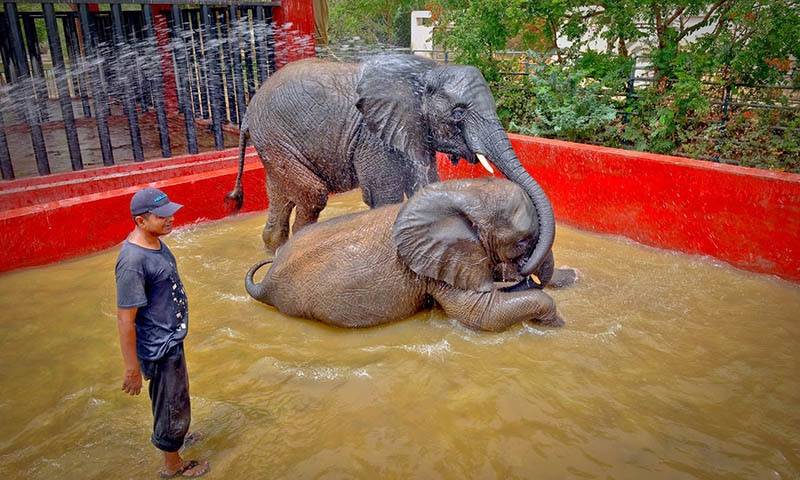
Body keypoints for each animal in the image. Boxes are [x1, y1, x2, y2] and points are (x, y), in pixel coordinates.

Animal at [227, 53, 557, 285]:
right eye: (458, 113)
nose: (525, 271)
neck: (426, 71)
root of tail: (249, 112)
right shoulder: (373, 135)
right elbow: (384, 198)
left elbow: (426, 187)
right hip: (275, 137)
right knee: (312, 194)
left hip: (273, 142)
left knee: (282, 195)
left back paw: (272, 248)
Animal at [244, 178, 570, 332]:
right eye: (522, 242)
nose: (522, 274)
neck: (460, 192)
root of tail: (265, 284)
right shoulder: (437, 264)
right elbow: (478, 314)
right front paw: (556, 323)